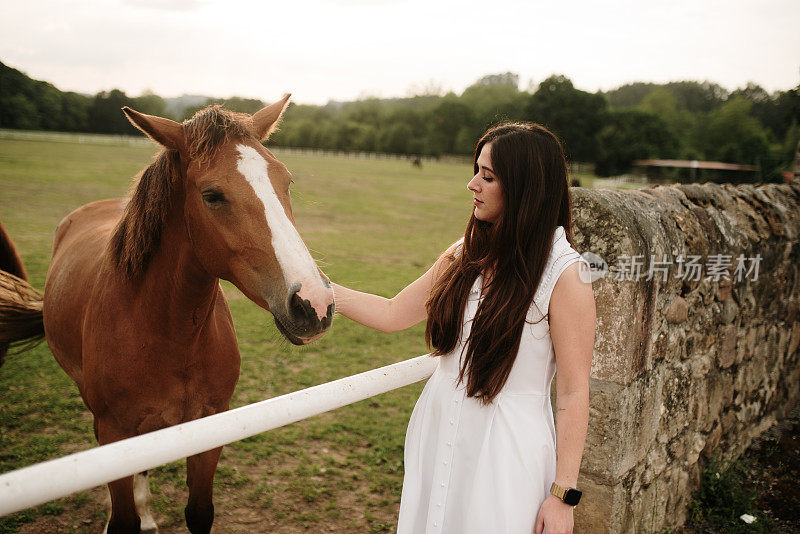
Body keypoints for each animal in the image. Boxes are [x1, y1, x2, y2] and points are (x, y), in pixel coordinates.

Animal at [0, 97, 334, 534]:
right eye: (212, 195)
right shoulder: (114, 434)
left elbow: (199, 512)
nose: (314, 303)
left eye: (286, 182)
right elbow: (122, 515)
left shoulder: (209, 427)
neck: (170, 333)